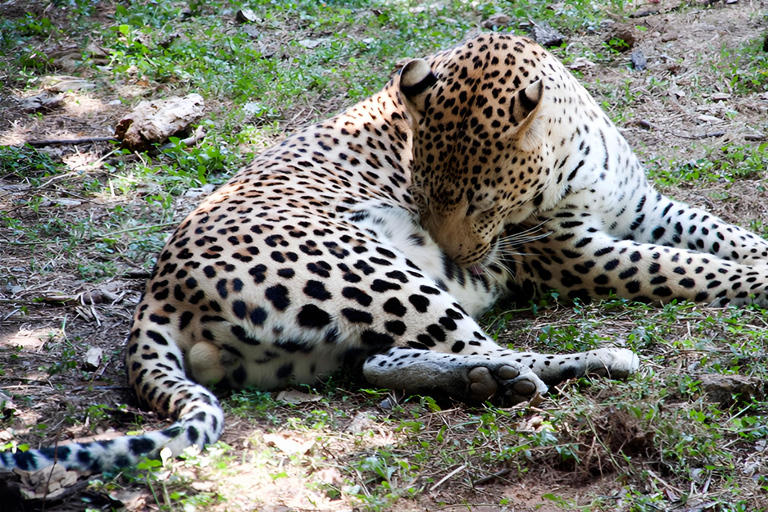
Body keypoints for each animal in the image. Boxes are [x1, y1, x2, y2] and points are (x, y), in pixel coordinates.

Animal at [1, 34, 768, 474]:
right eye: (420, 191)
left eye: (479, 200)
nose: (462, 261)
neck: (569, 144)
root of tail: (154, 294)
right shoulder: (575, 251)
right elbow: (692, 269)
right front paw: (757, 278)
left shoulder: (646, 209)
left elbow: (720, 237)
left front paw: (756, 254)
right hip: (371, 268)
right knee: (489, 348)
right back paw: (576, 364)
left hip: (319, 338)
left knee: (379, 362)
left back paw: (483, 381)